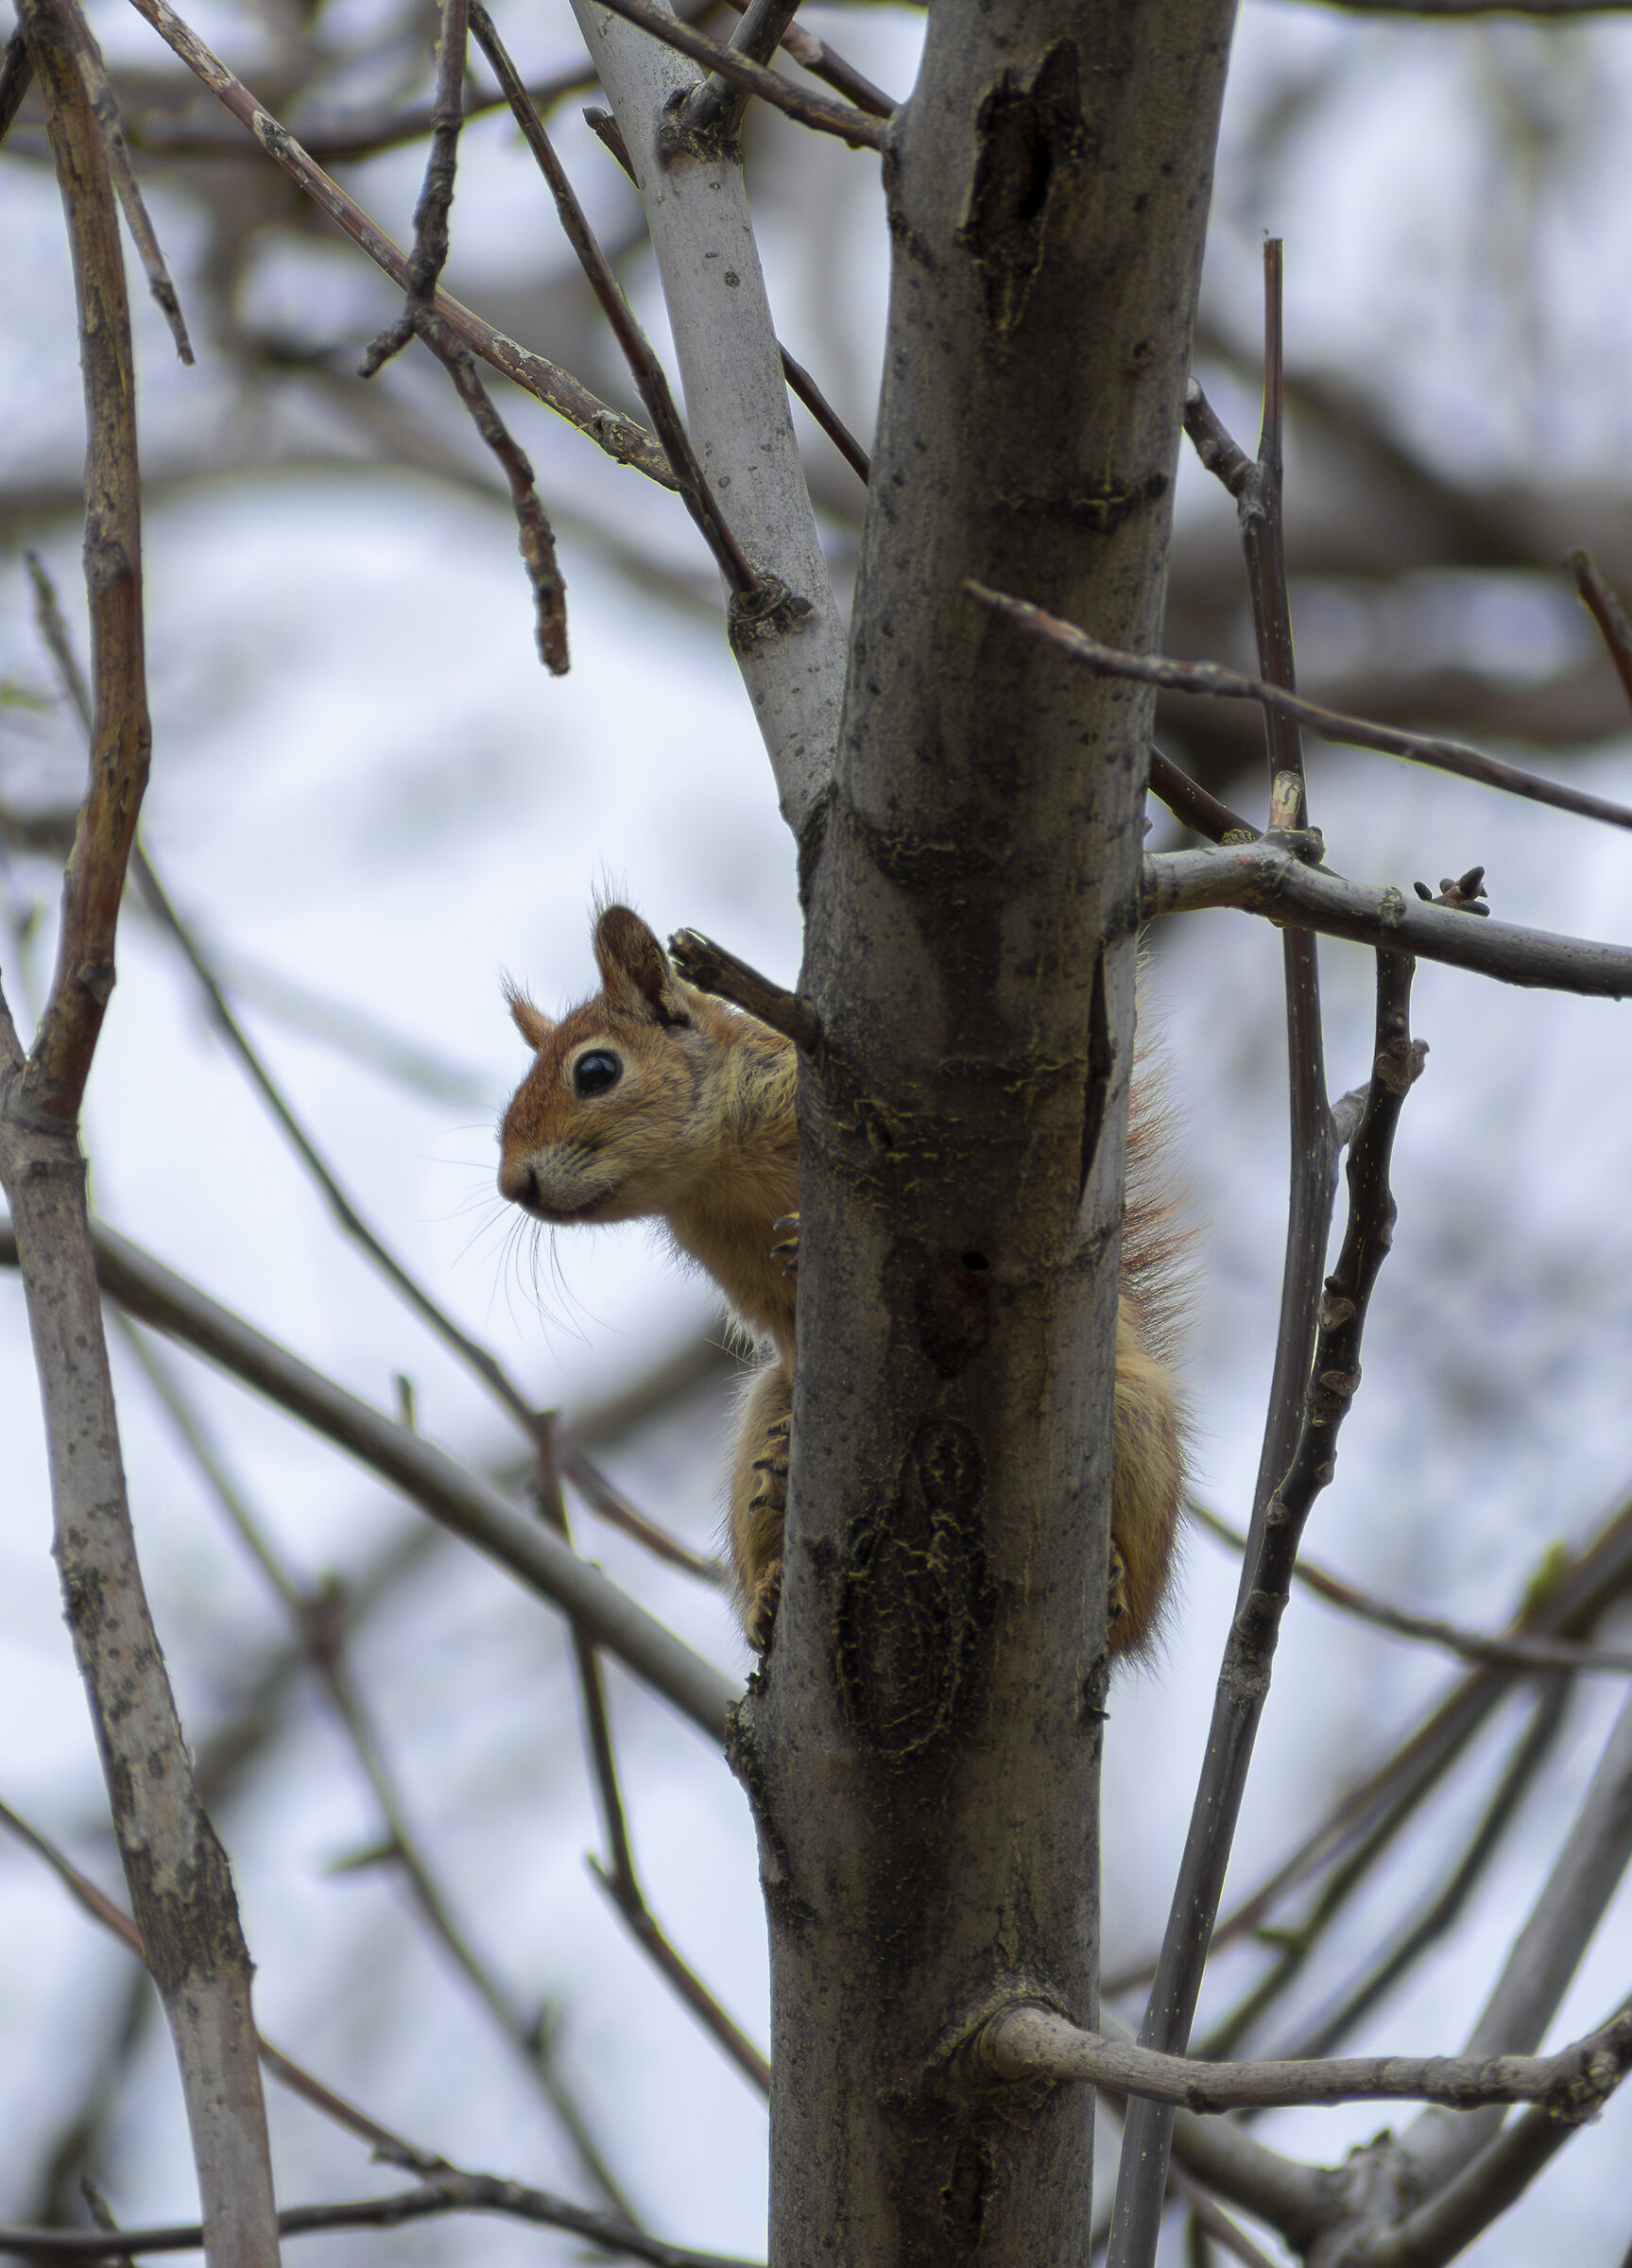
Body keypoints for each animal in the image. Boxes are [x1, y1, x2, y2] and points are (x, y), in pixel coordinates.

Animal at [498, 904, 1185, 1658]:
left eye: (596, 1070)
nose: (512, 1183)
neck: (718, 1174)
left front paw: (801, 1241)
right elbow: (792, 1341)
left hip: (1132, 1421)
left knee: (1132, 1608)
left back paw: (1116, 1580)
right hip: (764, 1418)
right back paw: (768, 1586)